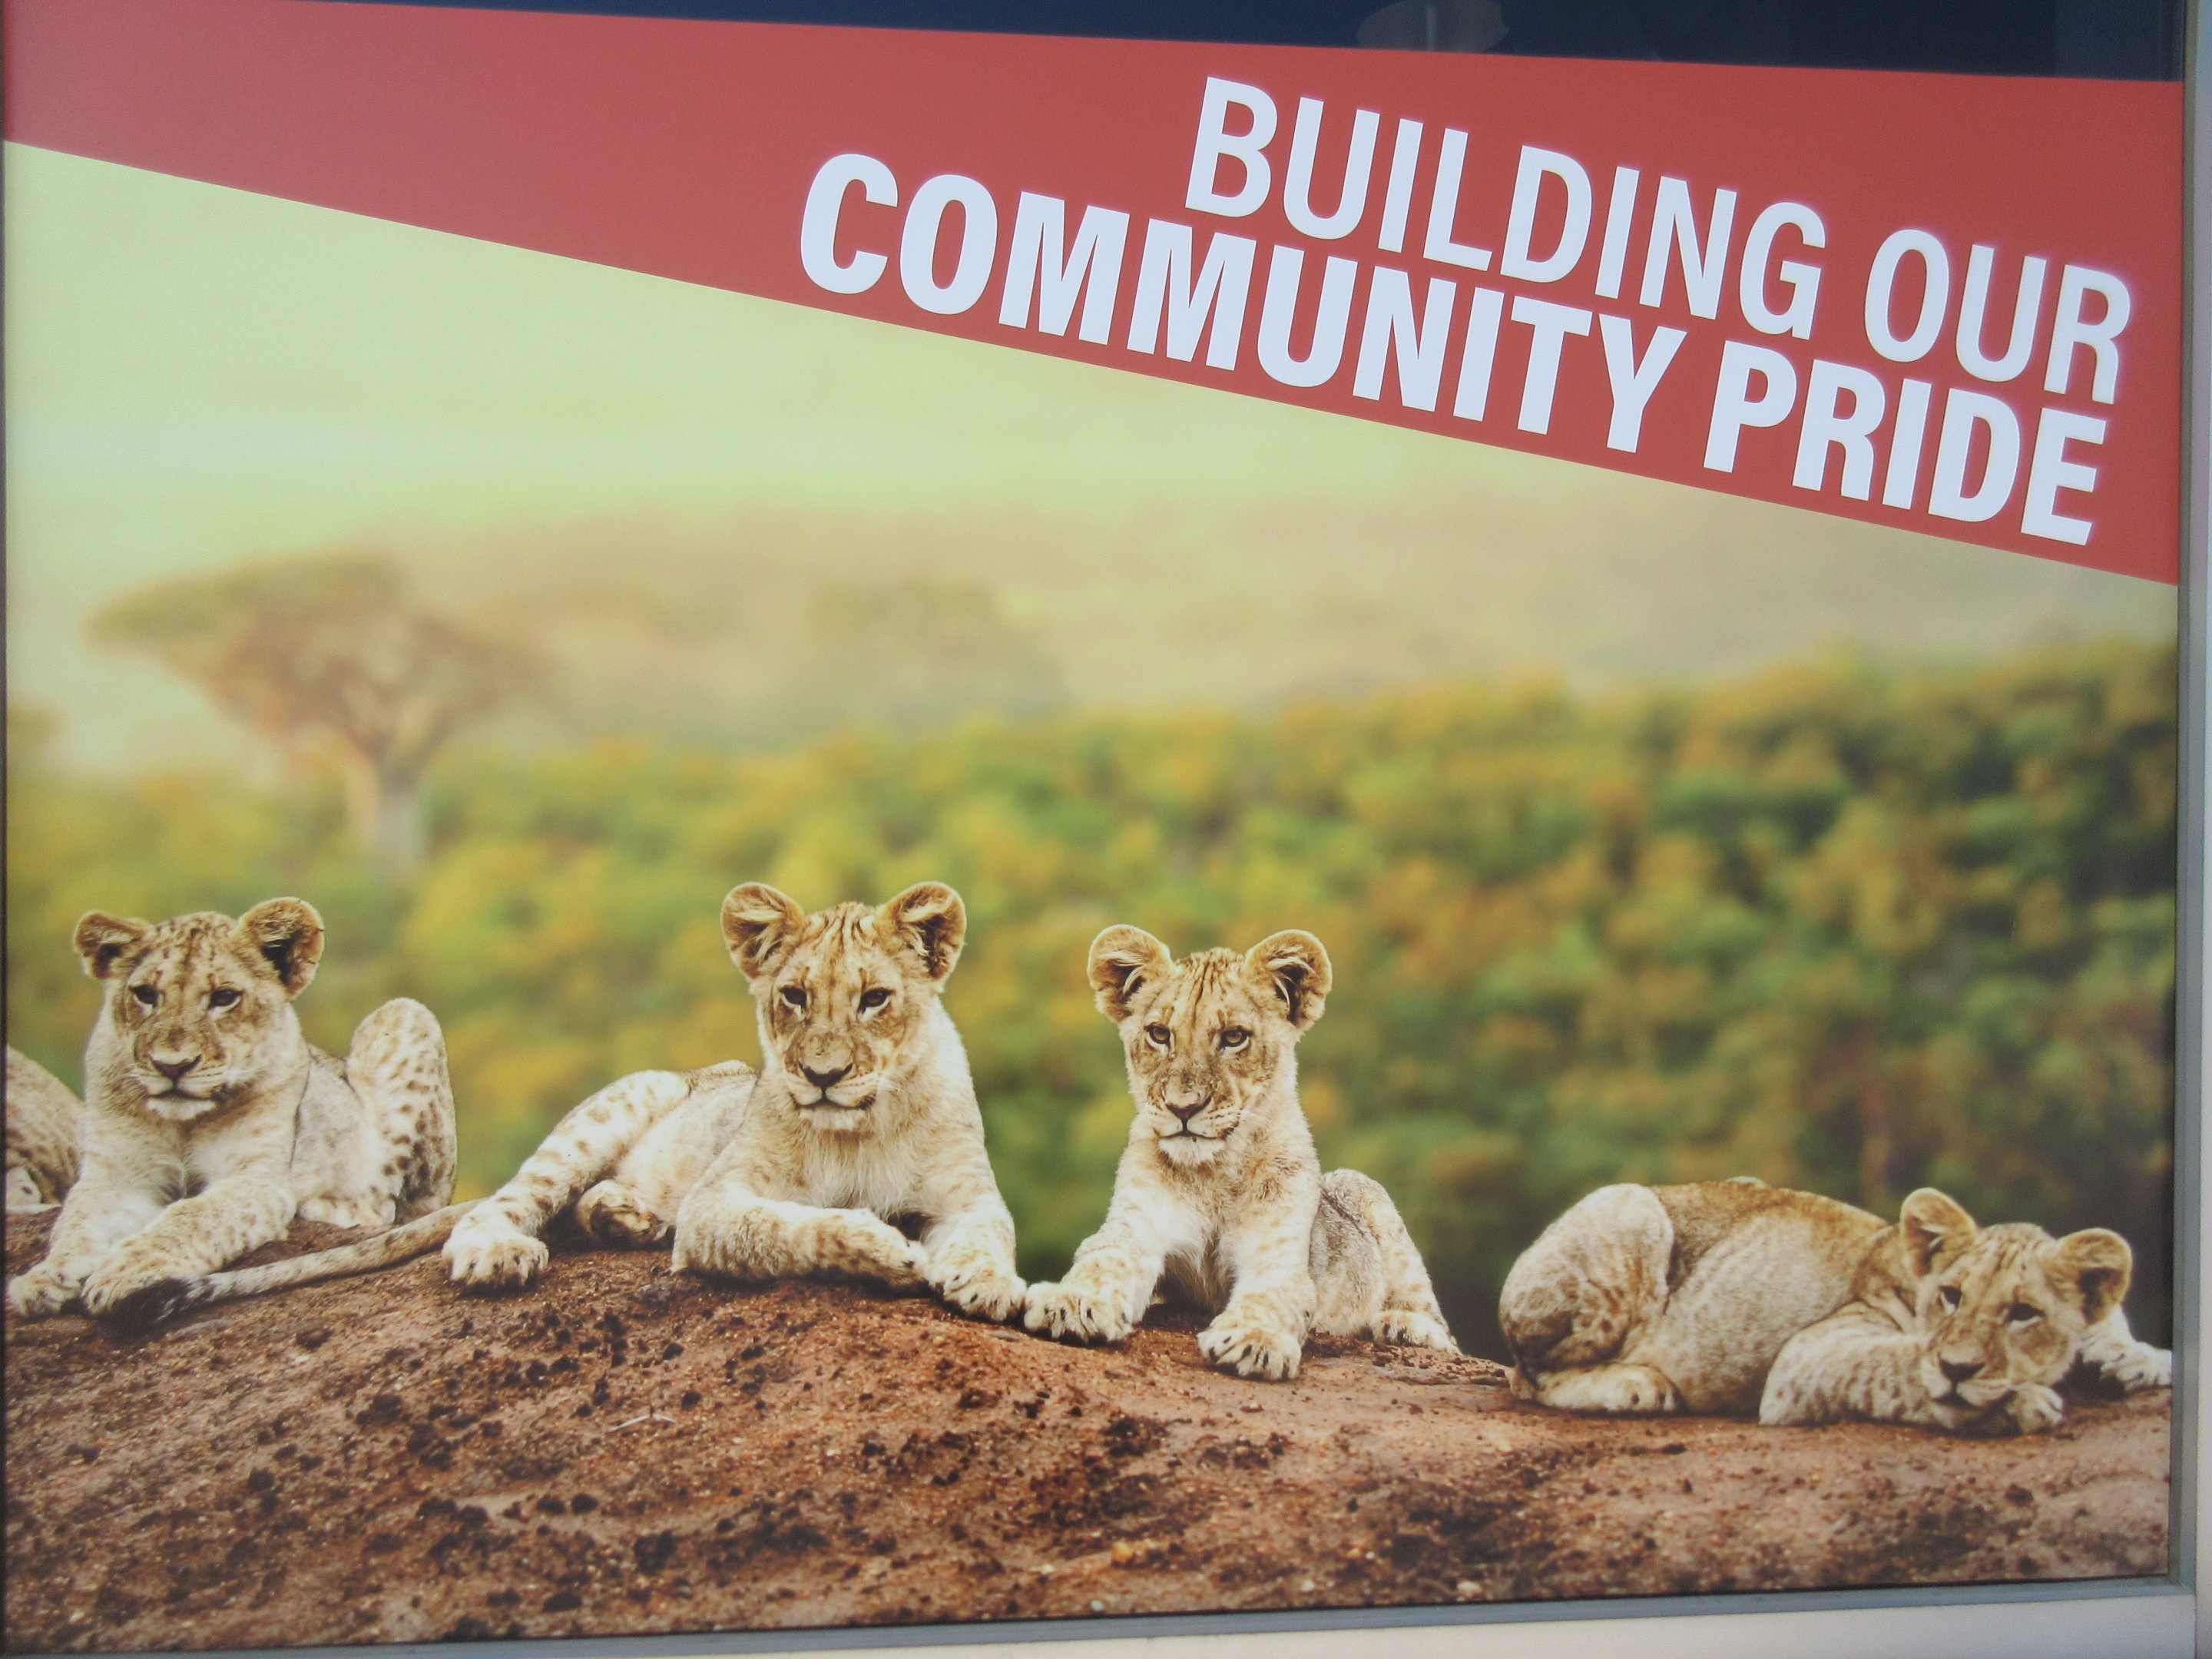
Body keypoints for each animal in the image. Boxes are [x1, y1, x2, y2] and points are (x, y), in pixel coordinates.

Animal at [3, 901, 460, 1328]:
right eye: (146, 994)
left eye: (224, 998)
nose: (172, 1066)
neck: (183, 1121)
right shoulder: (116, 1178)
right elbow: (78, 1226)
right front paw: (44, 1280)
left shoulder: (257, 1178)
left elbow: (195, 1216)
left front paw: (128, 1271)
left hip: (405, 1014)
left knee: (388, 1207)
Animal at [440, 880, 1026, 1322]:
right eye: (795, 996)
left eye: (875, 998)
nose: (824, 1076)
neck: (861, 1130)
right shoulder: (713, 1201)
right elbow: (794, 1225)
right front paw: (888, 1248)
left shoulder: (967, 1192)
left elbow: (991, 1230)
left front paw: (990, 1282)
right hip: (615, 1111)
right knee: (508, 1203)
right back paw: (496, 1253)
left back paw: (627, 1218)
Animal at [1023, 925, 1455, 1380]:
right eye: (1159, 1034)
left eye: (1234, 1038)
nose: (1183, 1108)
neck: (1213, 1171)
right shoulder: (1136, 1226)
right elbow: (1103, 1259)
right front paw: (1072, 1303)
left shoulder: (1278, 1254)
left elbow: (1270, 1295)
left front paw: (1254, 1342)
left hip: (1368, 1193)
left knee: (1441, 1327)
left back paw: (1402, 1327)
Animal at [1499, 1179, 2168, 1433]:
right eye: (1951, 1296)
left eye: (2023, 1313)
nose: (1960, 1366)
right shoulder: (1804, 1361)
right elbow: (1901, 1365)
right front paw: (2016, 1400)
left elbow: (2107, 1320)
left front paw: (2138, 1360)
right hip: (1632, 1209)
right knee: (1527, 1376)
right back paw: (1636, 1386)